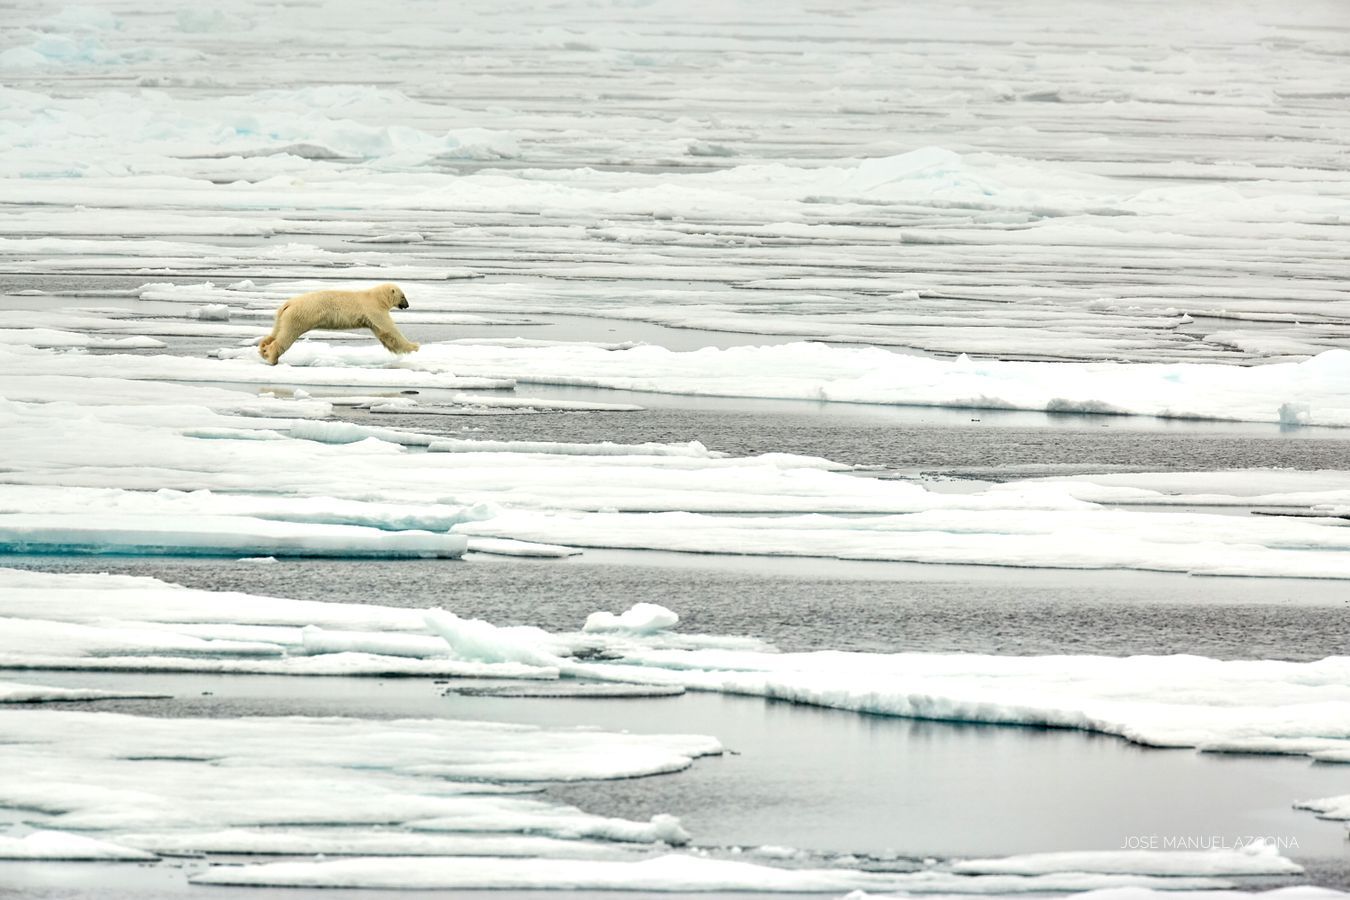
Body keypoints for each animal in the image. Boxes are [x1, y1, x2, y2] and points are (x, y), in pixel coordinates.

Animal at [256, 283, 415, 364]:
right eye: (403, 296)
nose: (407, 305)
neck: (375, 297)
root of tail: (288, 304)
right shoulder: (374, 310)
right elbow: (389, 329)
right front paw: (414, 347)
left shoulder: (371, 316)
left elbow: (384, 334)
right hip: (299, 316)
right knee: (286, 335)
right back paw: (272, 356)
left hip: (282, 317)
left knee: (275, 332)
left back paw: (263, 349)